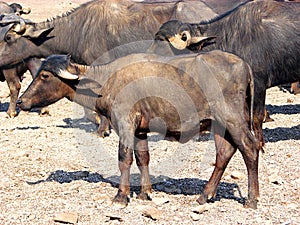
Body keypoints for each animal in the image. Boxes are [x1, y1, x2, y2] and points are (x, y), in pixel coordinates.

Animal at [17, 51, 260, 209]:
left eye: (44, 76)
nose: (21, 102)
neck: (106, 80)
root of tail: (244, 65)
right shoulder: (140, 131)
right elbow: (143, 158)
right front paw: (145, 192)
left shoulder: (125, 123)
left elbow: (124, 158)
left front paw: (121, 196)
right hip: (219, 125)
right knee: (224, 154)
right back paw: (204, 195)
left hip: (233, 120)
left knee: (249, 148)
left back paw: (251, 199)